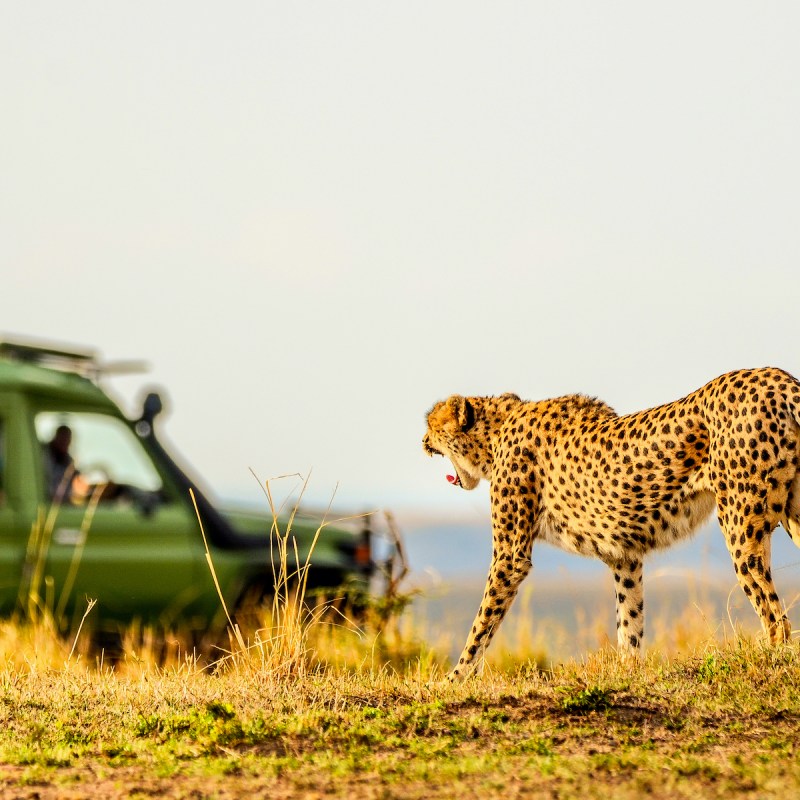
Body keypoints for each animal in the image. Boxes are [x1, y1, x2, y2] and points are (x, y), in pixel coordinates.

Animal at [422, 368, 800, 676]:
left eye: (431, 425)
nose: (422, 442)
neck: (496, 431)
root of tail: (778, 378)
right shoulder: (625, 556)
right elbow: (630, 618)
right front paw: (629, 671)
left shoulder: (510, 556)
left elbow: (482, 622)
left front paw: (454, 680)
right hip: (792, 514)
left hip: (741, 526)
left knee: (773, 613)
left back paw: (772, 659)